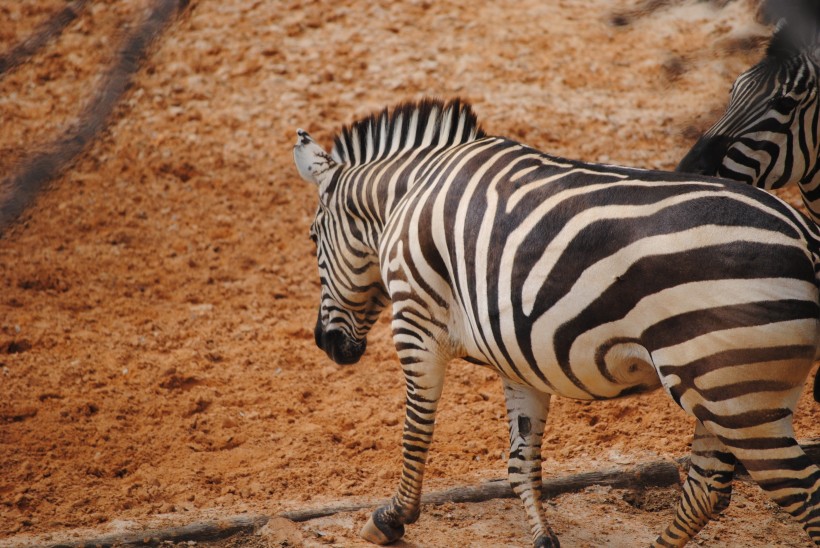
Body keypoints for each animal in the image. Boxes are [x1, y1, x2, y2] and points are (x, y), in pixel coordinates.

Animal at [294, 99, 820, 548]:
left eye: (313, 237)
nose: (324, 343)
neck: (408, 197)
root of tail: (804, 235)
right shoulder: (516, 349)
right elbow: (521, 458)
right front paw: (542, 534)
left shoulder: (414, 319)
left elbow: (416, 430)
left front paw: (392, 518)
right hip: (726, 388)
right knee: (705, 489)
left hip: (736, 396)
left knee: (799, 494)